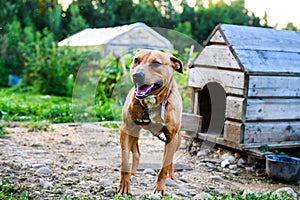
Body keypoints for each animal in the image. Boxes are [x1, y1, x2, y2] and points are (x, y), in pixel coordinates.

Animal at [118, 49, 183, 195]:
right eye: (136, 60)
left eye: (156, 63)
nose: (137, 75)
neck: (153, 102)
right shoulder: (126, 130)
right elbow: (125, 160)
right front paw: (124, 184)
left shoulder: (172, 137)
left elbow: (164, 168)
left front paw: (159, 189)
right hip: (134, 132)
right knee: (136, 153)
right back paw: (133, 174)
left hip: (177, 140)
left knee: (169, 161)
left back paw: (172, 178)